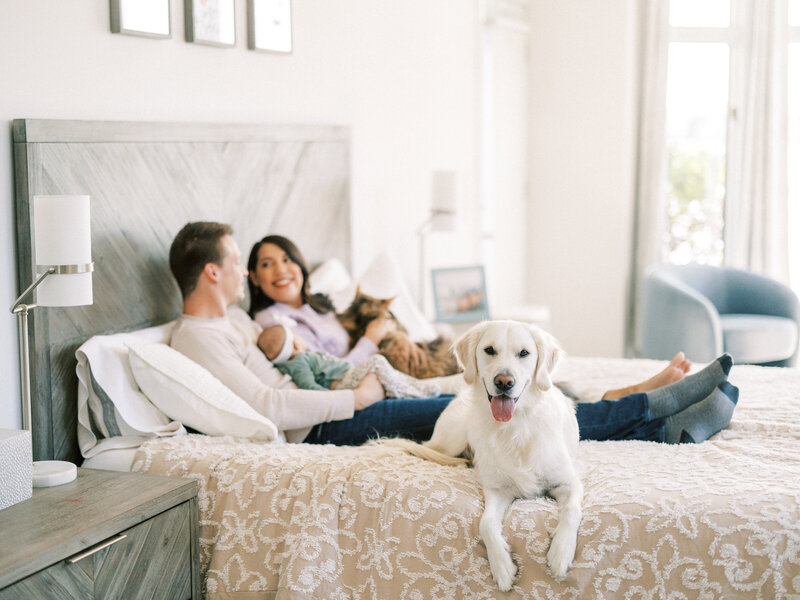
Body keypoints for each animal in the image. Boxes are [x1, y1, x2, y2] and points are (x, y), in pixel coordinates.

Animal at [386, 322, 580, 588]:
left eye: (524, 353)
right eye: (489, 350)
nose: (504, 381)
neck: (515, 427)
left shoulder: (568, 482)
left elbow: (571, 511)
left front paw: (560, 554)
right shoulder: (497, 490)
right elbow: (485, 524)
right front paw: (502, 567)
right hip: (452, 439)